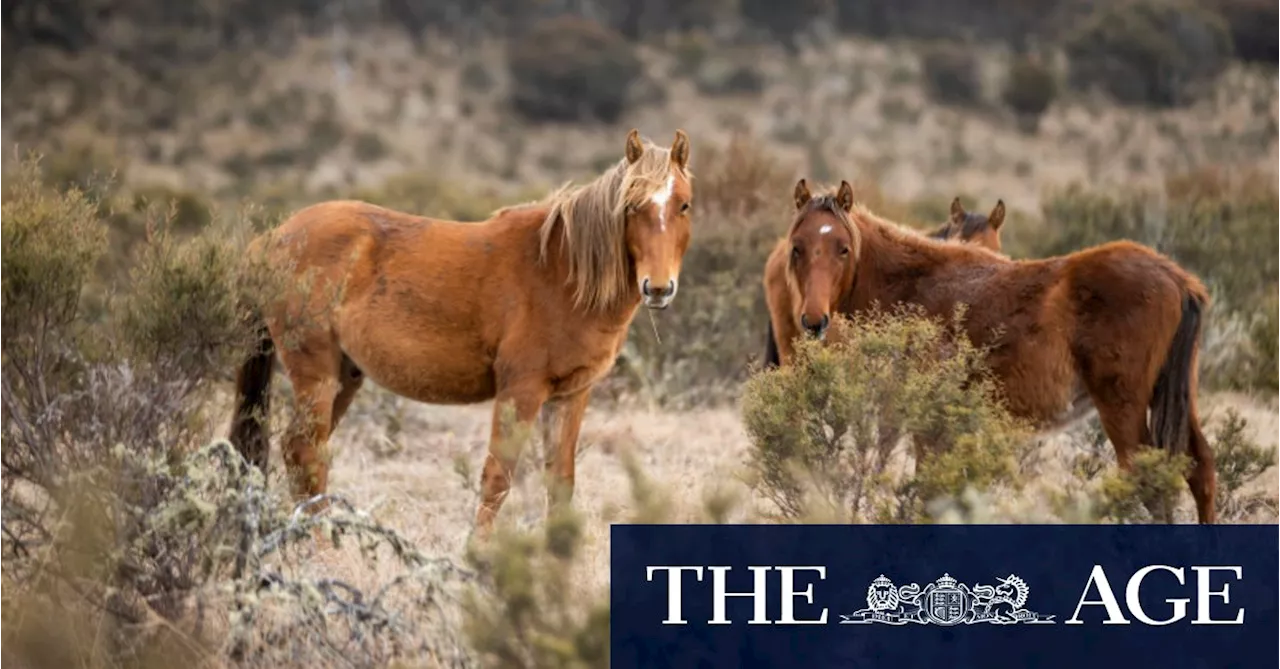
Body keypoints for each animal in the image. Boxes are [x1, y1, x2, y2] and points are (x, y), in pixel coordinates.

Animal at [225, 129, 696, 539]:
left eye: (685, 206)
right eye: (631, 206)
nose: (658, 288)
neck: (562, 272)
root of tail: (272, 238)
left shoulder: (570, 397)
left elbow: (560, 483)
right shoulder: (521, 390)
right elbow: (497, 478)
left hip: (345, 376)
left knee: (301, 451)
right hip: (315, 373)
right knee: (305, 453)